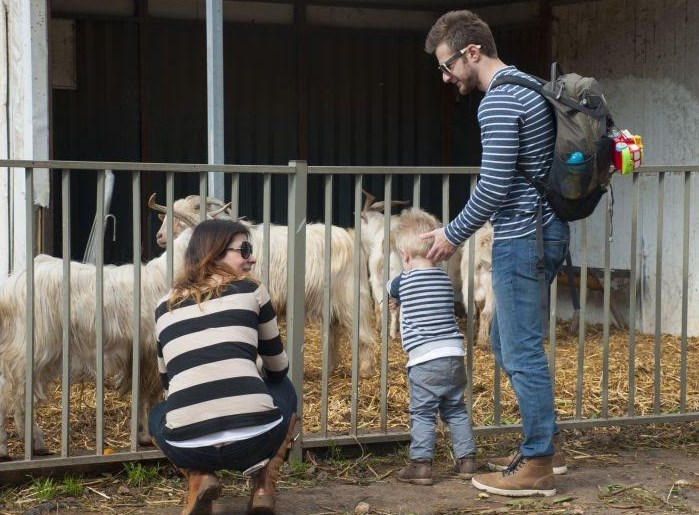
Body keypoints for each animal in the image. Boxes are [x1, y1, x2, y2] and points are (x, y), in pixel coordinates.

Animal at [0, 230, 193, 460]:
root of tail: (10, 287)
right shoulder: (151, 354)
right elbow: (150, 395)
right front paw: (147, 436)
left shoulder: (138, 356)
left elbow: (139, 393)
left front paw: (140, 435)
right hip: (28, 349)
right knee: (9, 391)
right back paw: (6, 448)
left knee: (23, 394)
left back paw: (35, 443)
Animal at [149, 194, 378, 378]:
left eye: (179, 218)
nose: (159, 237)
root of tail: (350, 238)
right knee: (333, 333)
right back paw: (329, 369)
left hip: (350, 297)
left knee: (362, 333)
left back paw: (365, 371)